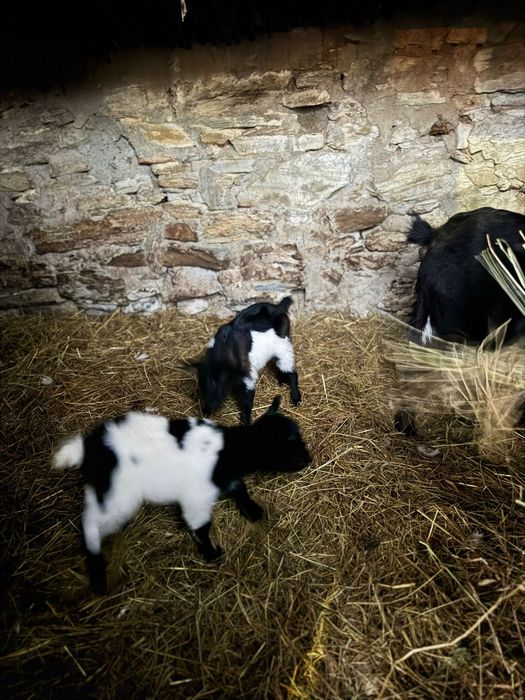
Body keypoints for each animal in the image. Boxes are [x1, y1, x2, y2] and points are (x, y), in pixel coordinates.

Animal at [52, 397, 311, 594]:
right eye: (288, 447)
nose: (309, 459)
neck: (229, 451)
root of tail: (89, 445)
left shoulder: (225, 480)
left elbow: (239, 489)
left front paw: (253, 510)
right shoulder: (195, 498)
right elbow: (201, 526)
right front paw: (211, 553)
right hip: (119, 494)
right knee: (91, 523)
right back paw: (97, 574)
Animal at [193, 296, 301, 424]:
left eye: (219, 381)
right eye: (201, 383)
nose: (211, 405)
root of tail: (278, 306)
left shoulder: (247, 373)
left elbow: (247, 397)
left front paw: (245, 421)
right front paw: (206, 411)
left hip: (283, 346)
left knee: (291, 371)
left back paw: (296, 398)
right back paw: (281, 381)